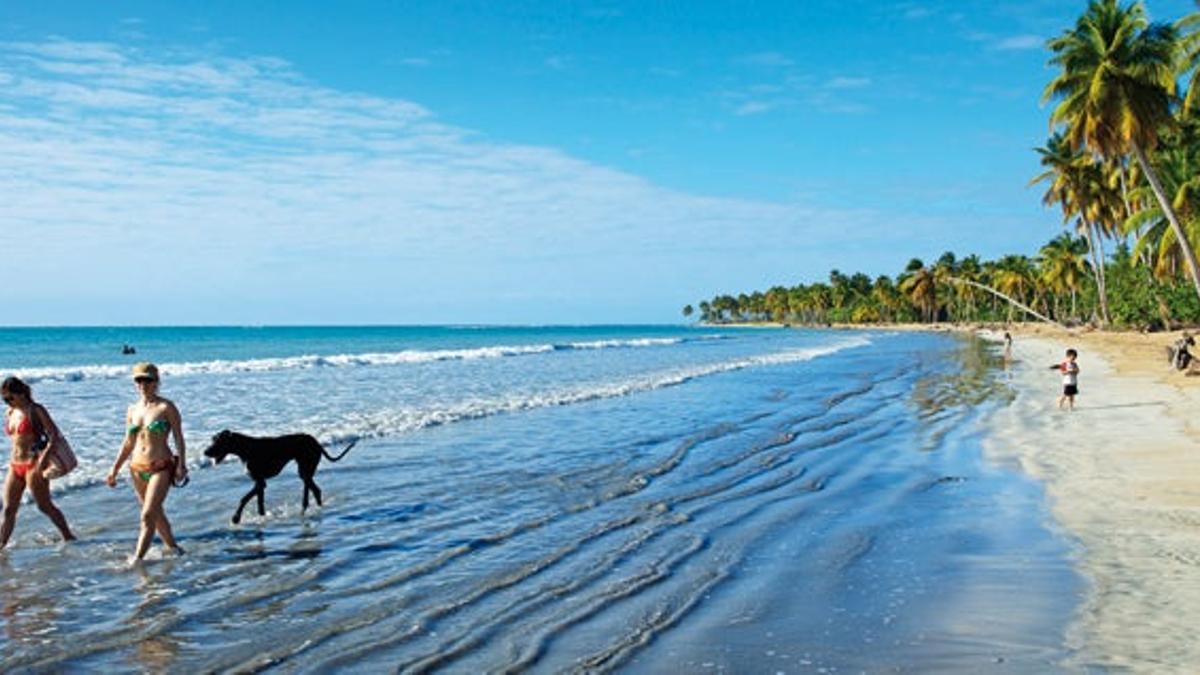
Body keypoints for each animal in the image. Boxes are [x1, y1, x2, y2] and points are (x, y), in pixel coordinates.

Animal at [204, 427, 360, 523]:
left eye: (218, 441)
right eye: (212, 439)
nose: (205, 452)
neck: (246, 449)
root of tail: (316, 442)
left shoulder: (260, 482)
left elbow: (244, 499)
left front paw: (236, 518)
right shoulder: (259, 483)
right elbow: (260, 505)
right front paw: (261, 518)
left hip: (305, 469)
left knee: (312, 490)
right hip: (305, 471)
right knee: (315, 490)